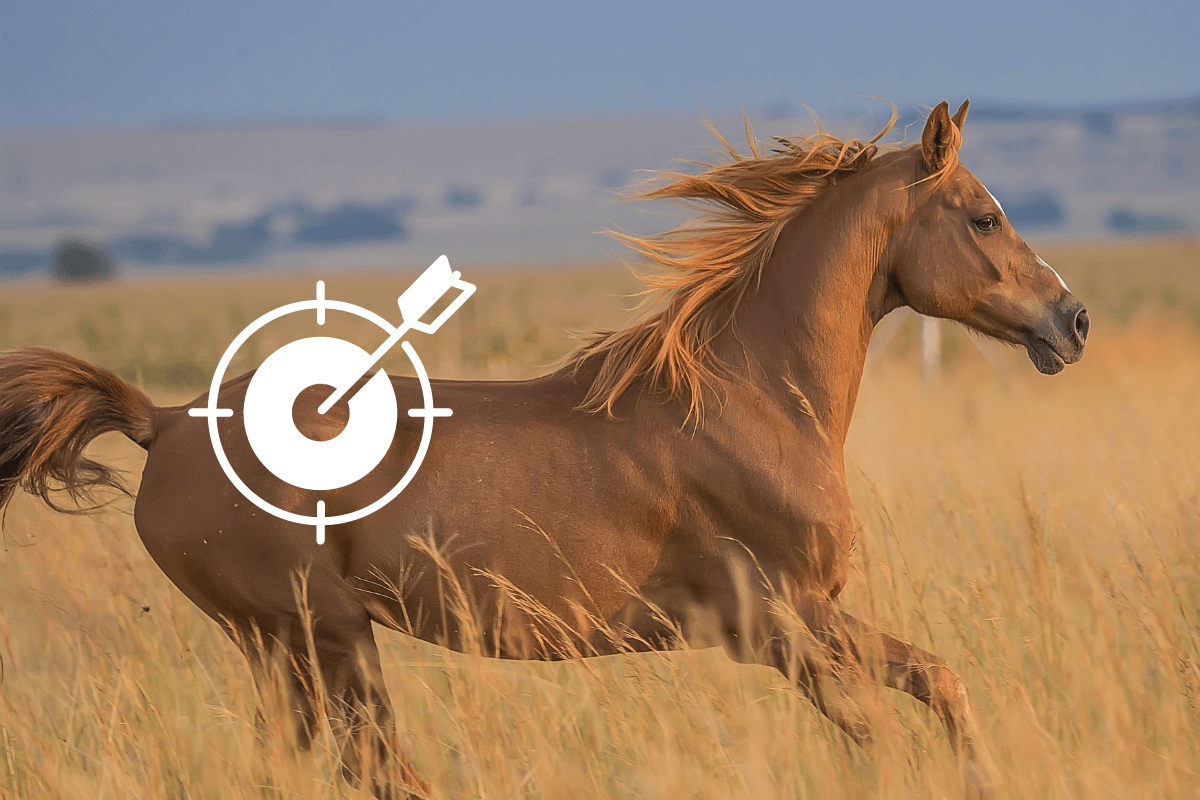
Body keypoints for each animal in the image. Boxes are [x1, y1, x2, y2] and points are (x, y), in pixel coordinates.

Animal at [0, 100, 1087, 798]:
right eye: (985, 215)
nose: (1071, 320)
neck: (749, 400)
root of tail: (166, 421)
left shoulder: (810, 617)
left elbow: (939, 682)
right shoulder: (778, 621)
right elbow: (883, 735)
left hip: (288, 648)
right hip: (317, 636)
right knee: (376, 768)